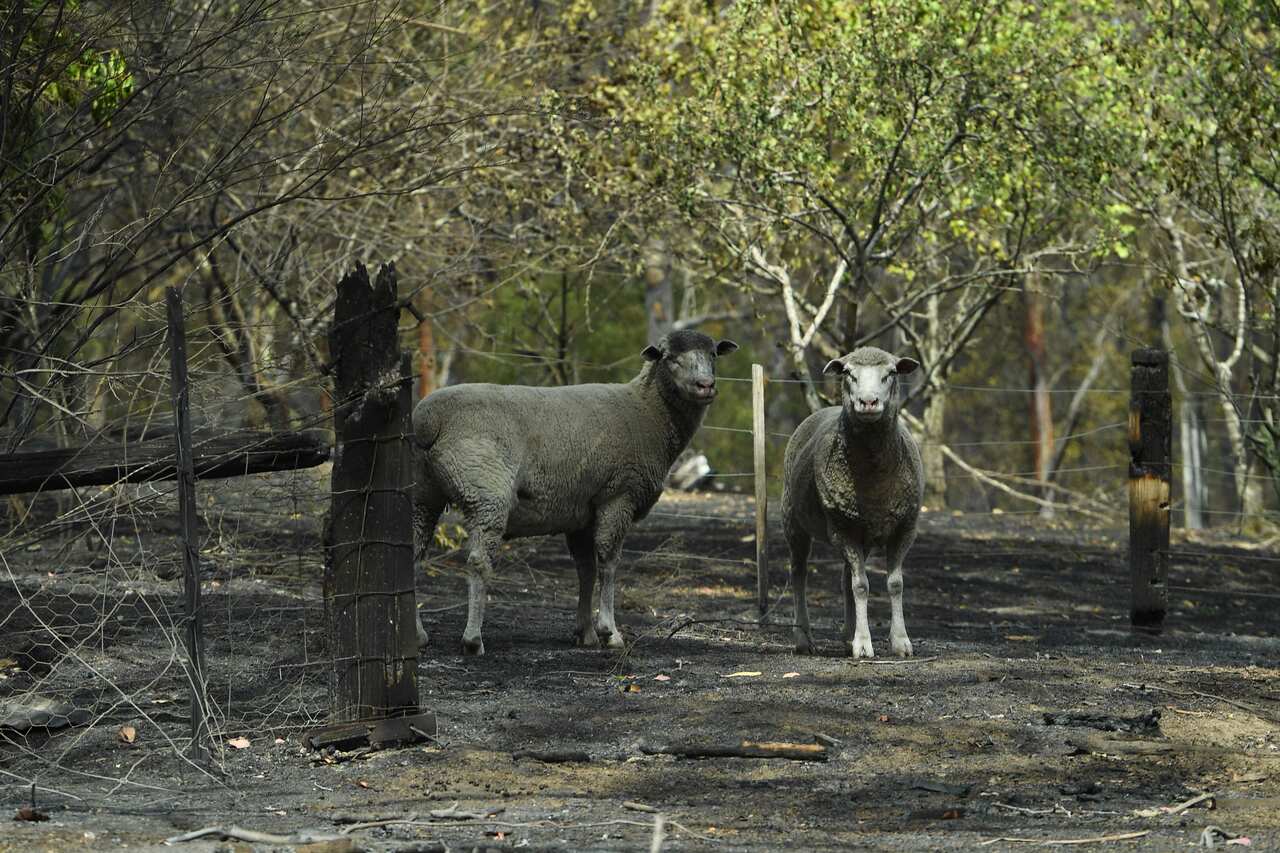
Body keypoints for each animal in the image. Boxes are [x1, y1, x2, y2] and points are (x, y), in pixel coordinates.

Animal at [412, 330, 738, 655]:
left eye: (713, 354)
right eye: (670, 358)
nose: (705, 385)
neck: (647, 411)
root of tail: (428, 418)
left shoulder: (581, 512)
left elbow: (586, 570)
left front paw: (586, 633)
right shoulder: (618, 495)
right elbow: (608, 563)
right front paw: (610, 632)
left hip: (422, 494)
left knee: (412, 555)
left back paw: (418, 635)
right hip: (486, 492)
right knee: (478, 561)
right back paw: (472, 639)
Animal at [780, 346, 923, 658]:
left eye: (891, 373)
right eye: (848, 373)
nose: (868, 402)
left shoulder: (904, 527)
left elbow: (895, 584)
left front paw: (900, 641)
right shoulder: (841, 528)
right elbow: (861, 586)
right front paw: (863, 644)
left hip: (861, 531)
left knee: (845, 578)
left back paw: (847, 634)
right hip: (794, 520)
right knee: (799, 573)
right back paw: (803, 638)